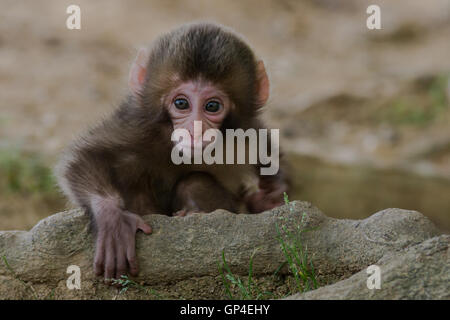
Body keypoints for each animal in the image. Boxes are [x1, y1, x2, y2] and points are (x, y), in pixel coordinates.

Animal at [56, 23, 290, 282]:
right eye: (181, 103)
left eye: (212, 106)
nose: (195, 130)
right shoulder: (138, 126)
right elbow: (85, 157)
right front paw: (111, 216)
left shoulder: (245, 129)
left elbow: (263, 145)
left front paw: (272, 191)